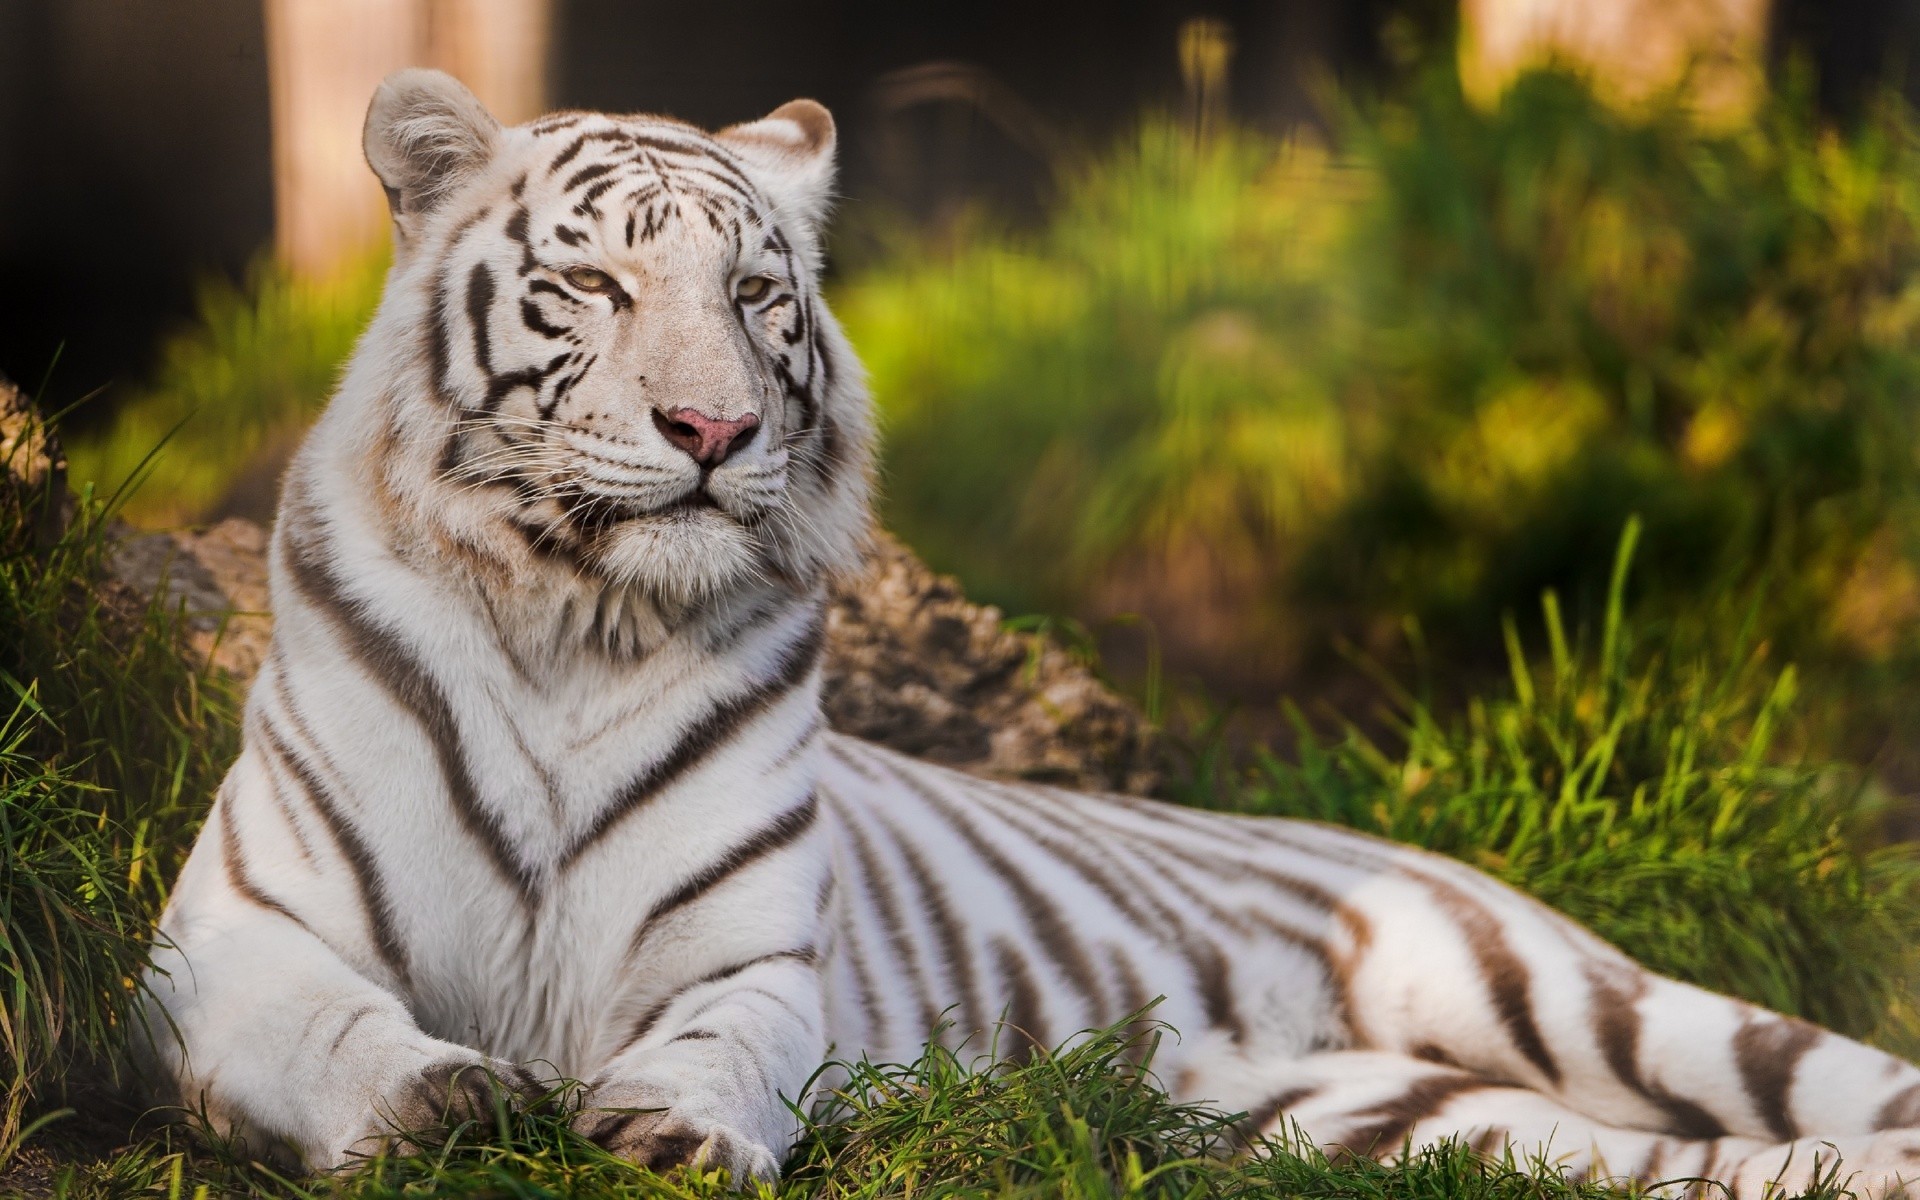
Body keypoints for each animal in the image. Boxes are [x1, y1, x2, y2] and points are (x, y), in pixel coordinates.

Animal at [142, 70, 1920, 1190]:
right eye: (591, 289)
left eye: (759, 298)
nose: (713, 430)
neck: (576, 616)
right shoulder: (234, 935)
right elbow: (333, 1028)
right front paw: (446, 1099)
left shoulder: (752, 956)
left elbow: (719, 1041)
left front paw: (663, 1125)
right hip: (1390, 1124)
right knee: (1675, 1166)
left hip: (1579, 996)